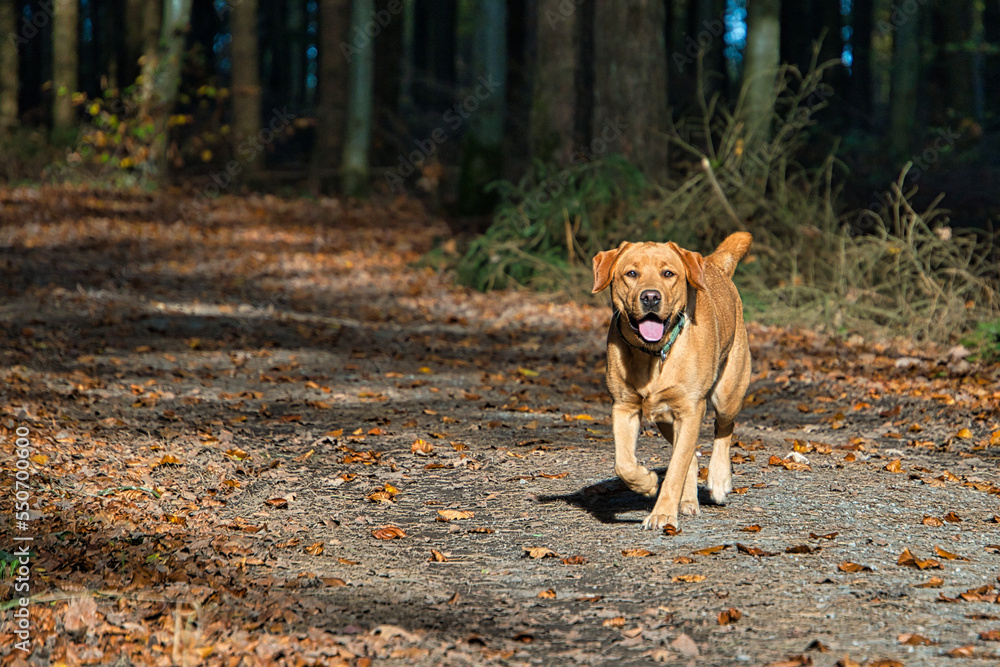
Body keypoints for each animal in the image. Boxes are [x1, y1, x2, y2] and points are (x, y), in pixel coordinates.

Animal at [592, 235, 752, 532]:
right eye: (631, 273)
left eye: (668, 274)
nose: (650, 297)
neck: (653, 355)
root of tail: (712, 263)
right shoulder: (623, 406)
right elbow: (624, 463)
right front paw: (646, 482)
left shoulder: (691, 410)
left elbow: (676, 468)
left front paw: (663, 514)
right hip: (665, 419)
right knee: (689, 456)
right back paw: (687, 500)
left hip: (728, 394)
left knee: (723, 428)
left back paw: (719, 480)